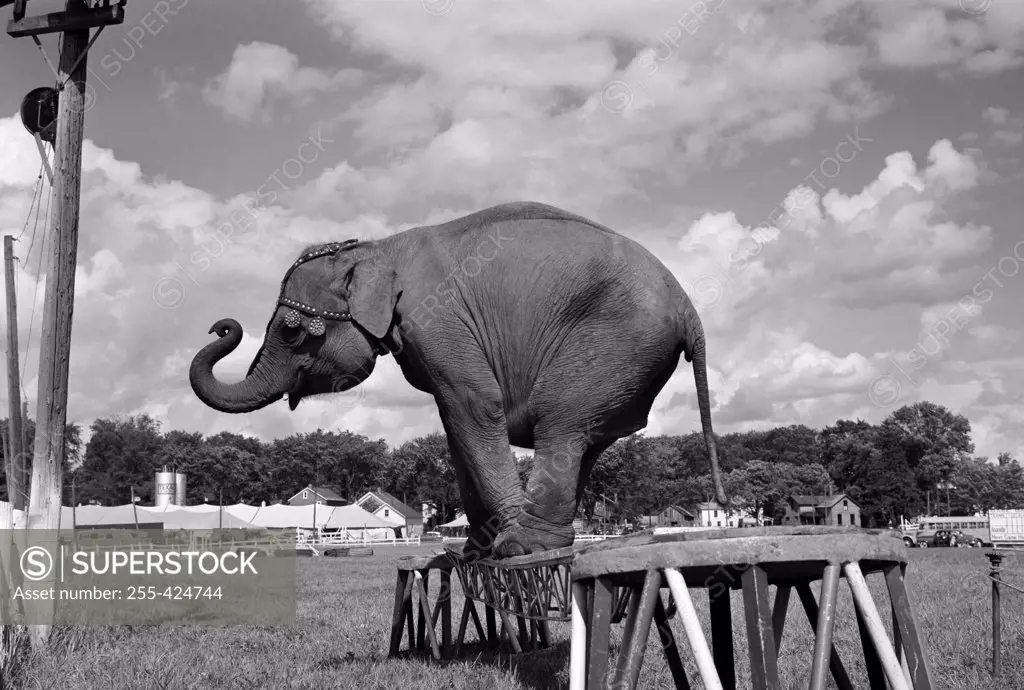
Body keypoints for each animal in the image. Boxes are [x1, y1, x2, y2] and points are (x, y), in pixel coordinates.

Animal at [188, 201, 724, 556]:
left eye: (292, 331)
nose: (221, 325)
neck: (381, 246)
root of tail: (689, 309)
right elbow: (452, 424)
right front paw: (472, 551)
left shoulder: (437, 322)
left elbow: (473, 405)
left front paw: (495, 546)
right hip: (629, 361)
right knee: (588, 435)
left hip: (616, 343)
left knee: (563, 423)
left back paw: (523, 545)